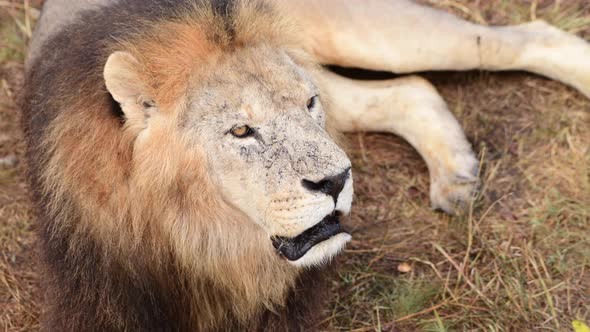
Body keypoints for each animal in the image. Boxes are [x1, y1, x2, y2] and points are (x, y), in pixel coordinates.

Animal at [22, 0, 590, 330]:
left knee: (523, 38)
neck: (200, 238)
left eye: (308, 104)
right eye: (241, 131)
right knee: (413, 90)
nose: (337, 180)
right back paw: (457, 176)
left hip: (370, 33)